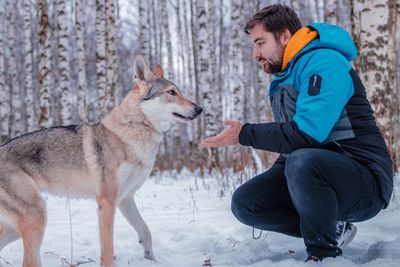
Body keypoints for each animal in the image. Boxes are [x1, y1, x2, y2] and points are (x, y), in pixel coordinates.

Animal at [0, 55, 202, 267]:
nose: (200, 109)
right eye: (172, 92)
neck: (133, 132)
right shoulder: (107, 202)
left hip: (17, 229)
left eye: (179, 91)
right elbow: (107, 250)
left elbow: (146, 232)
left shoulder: (126, 199)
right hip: (36, 218)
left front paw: (151, 259)